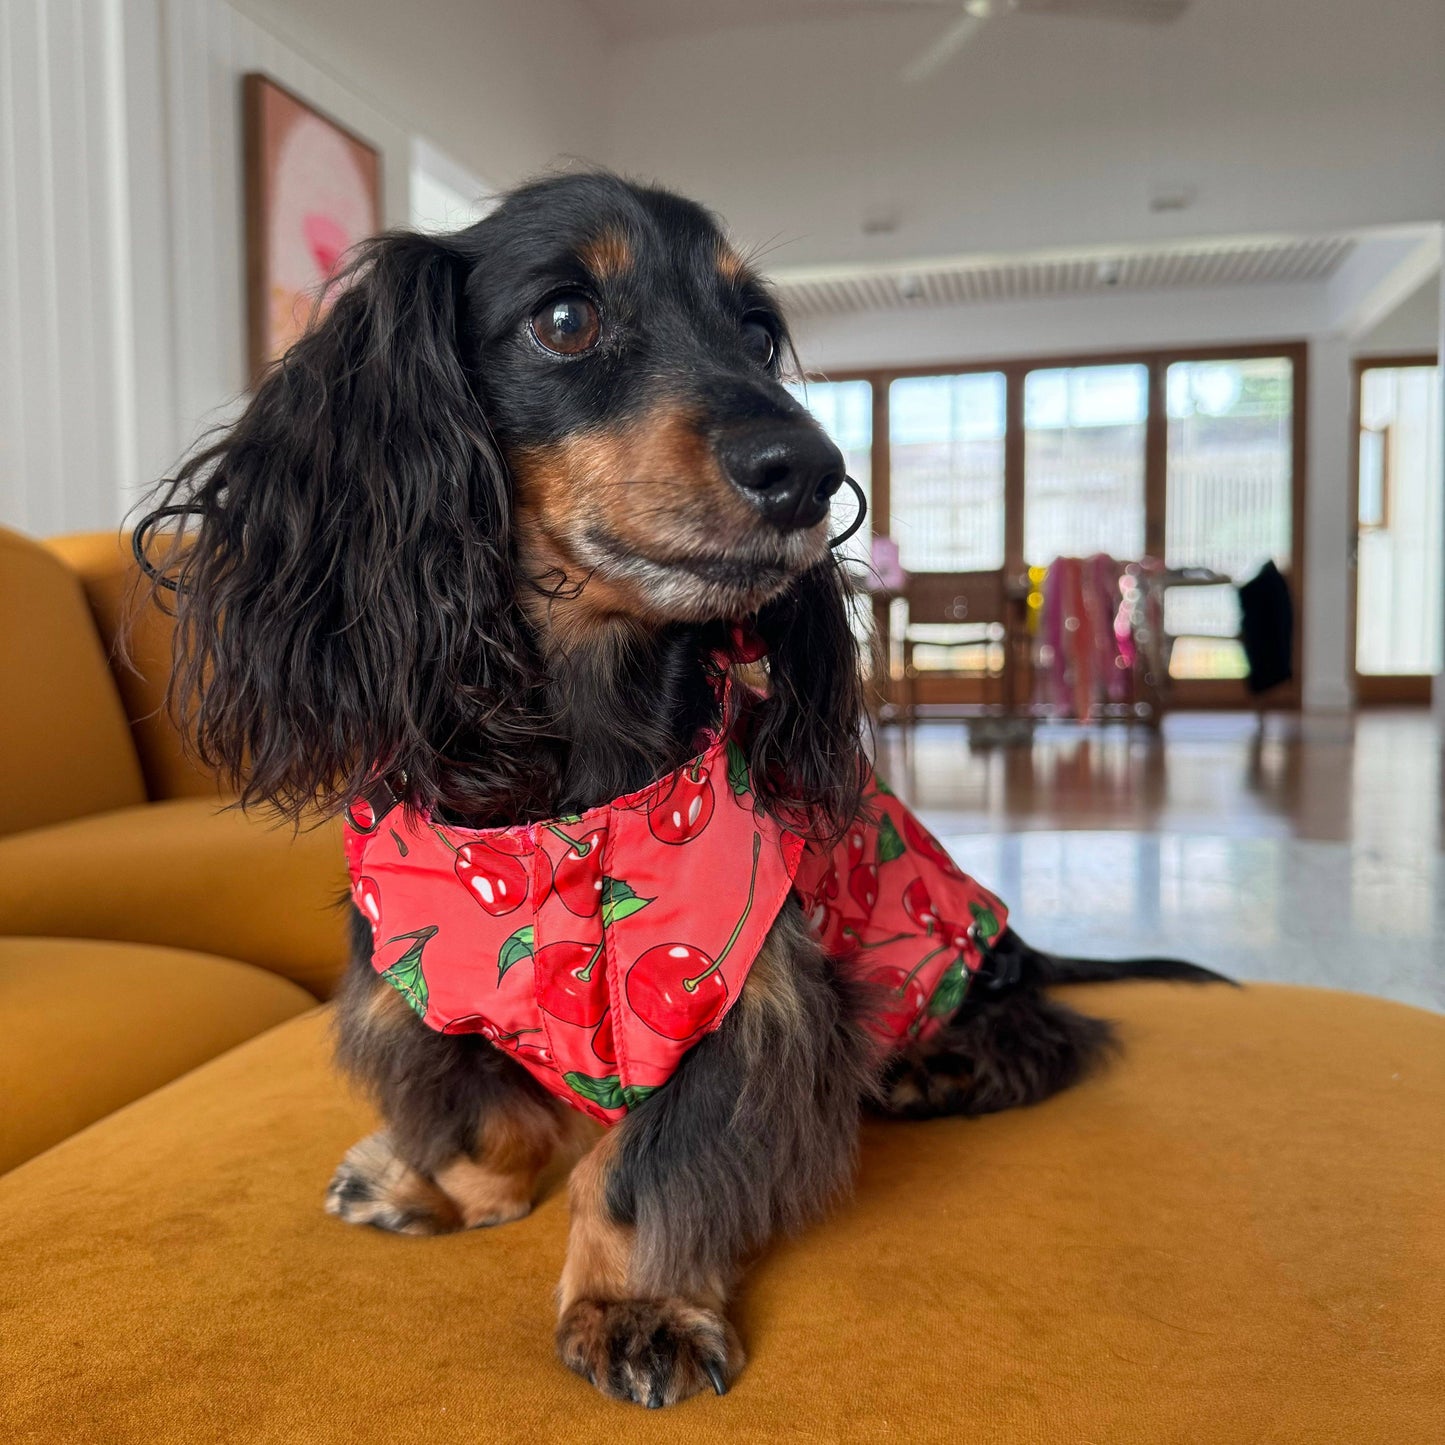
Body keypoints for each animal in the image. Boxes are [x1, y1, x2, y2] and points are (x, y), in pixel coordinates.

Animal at [135, 171, 1225, 1410]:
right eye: (565, 317)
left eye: (754, 332)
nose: (808, 469)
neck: (558, 794)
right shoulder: (417, 967)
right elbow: (481, 1113)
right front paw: (440, 1186)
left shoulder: (732, 990)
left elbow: (633, 1168)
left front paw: (634, 1304)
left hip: (946, 946)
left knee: (1041, 1026)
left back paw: (937, 1063)